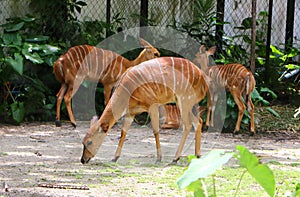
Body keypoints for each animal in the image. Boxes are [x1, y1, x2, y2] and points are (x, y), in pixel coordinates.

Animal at [81, 56, 210, 164]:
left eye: (89, 142)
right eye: (83, 142)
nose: (83, 160)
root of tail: (203, 79)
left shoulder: (152, 104)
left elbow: (155, 130)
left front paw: (159, 158)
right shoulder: (131, 113)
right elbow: (123, 132)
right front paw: (114, 157)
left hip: (185, 99)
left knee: (188, 125)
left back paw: (175, 158)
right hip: (184, 102)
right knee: (198, 121)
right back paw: (197, 155)